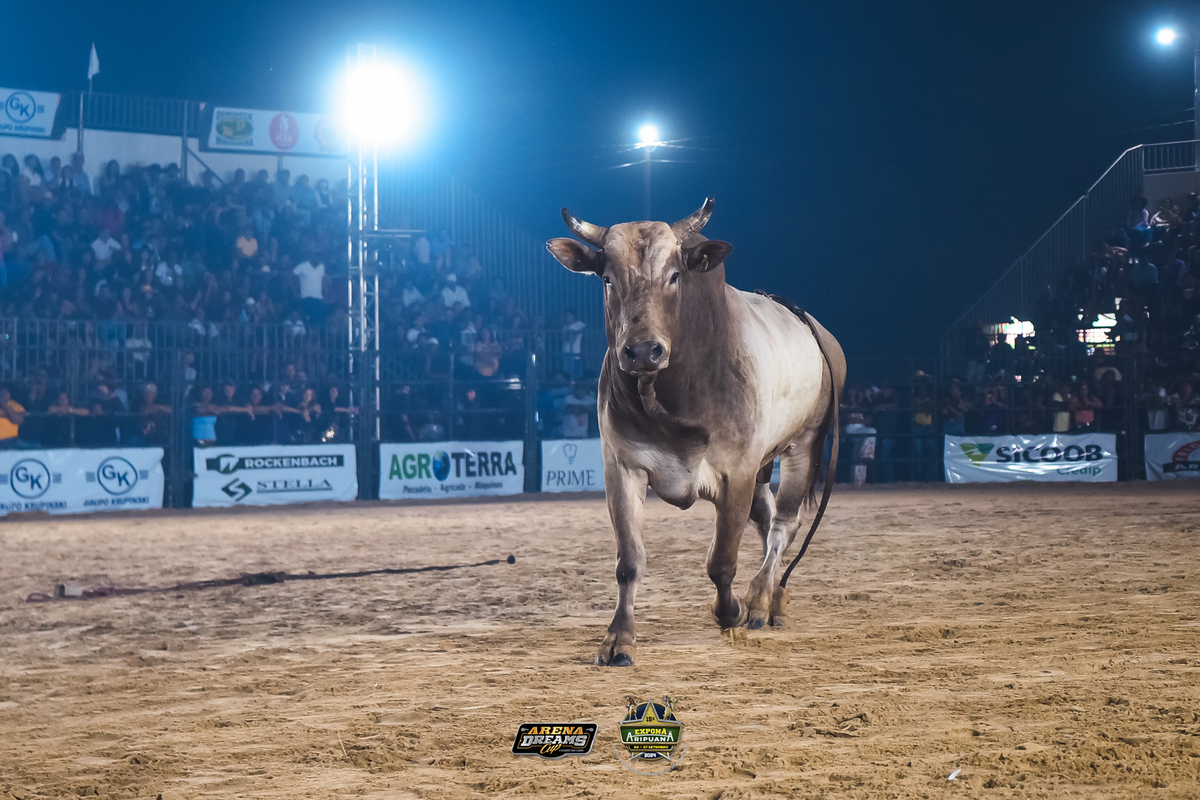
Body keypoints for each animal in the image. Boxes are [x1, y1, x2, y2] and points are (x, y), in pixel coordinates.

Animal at [546, 198, 846, 666]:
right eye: (607, 278)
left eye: (674, 275)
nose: (642, 351)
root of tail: (821, 334)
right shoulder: (622, 467)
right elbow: (629, 560)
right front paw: (619, 639)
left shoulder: (737, 472)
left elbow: (721, 561)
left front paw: (730, 611)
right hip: (764, 467)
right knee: (768, 522)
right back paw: (774, 599)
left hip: (805, 445)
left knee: (784, 524)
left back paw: (761, 601)